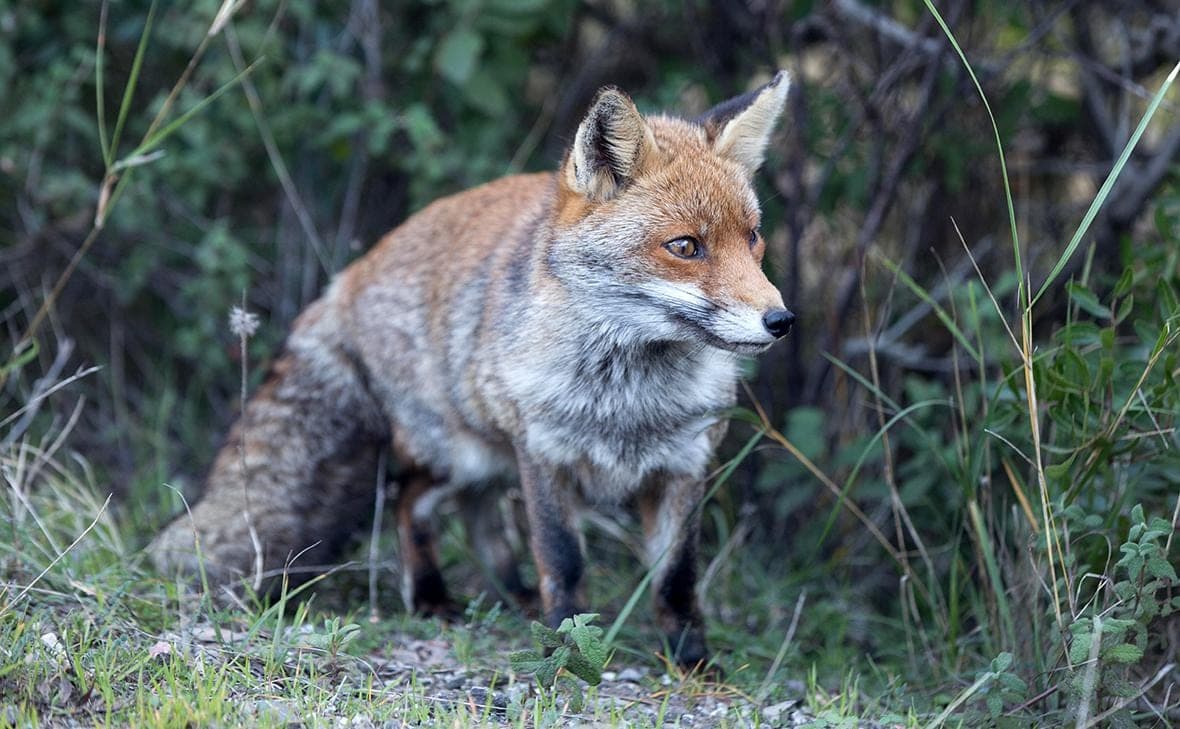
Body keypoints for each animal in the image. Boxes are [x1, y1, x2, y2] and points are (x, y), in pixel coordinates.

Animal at [150, 71, 794, 667]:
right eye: (685, 246)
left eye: (753, 238)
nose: (781, 320)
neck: (626, 400)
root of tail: (348, 278)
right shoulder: (544, 456)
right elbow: (563, 559)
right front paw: (566, 649)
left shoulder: (684, 465)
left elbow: (676, 580)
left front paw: (692, 662)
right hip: (461, 452)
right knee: (412, 501)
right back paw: (434, 598)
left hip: (489, 458)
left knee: (477, 516)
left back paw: (513, 596)